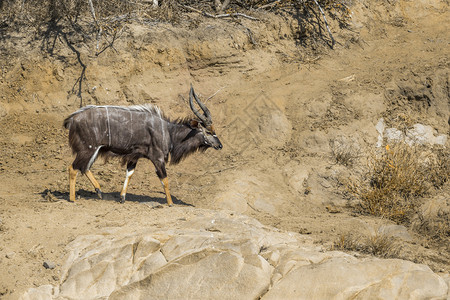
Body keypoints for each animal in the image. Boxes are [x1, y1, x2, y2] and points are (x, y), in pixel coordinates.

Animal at [63, 85, 223, 205]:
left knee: (84, 167)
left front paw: (122, 198)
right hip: (88, 149)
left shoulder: (134, 156)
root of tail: (72, 119)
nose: (220, 146)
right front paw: (170, 203)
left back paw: (100, 192)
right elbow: (164, 179)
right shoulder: (157, 158)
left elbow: (129, 173)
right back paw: (72, 199)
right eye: (209, 131)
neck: (168, 132)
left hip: (93, 150)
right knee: (73, 168)